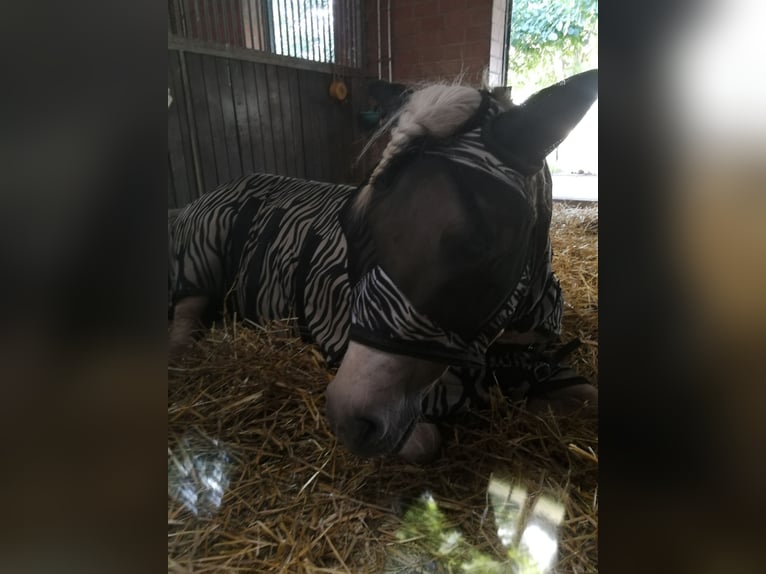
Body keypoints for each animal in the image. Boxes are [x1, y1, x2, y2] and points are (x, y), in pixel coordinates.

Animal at [171, 70, 604, 466]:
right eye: (353, 226)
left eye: (480, 247)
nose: (348, 419)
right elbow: (426, 441)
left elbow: (587, 397)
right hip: (199, 266)